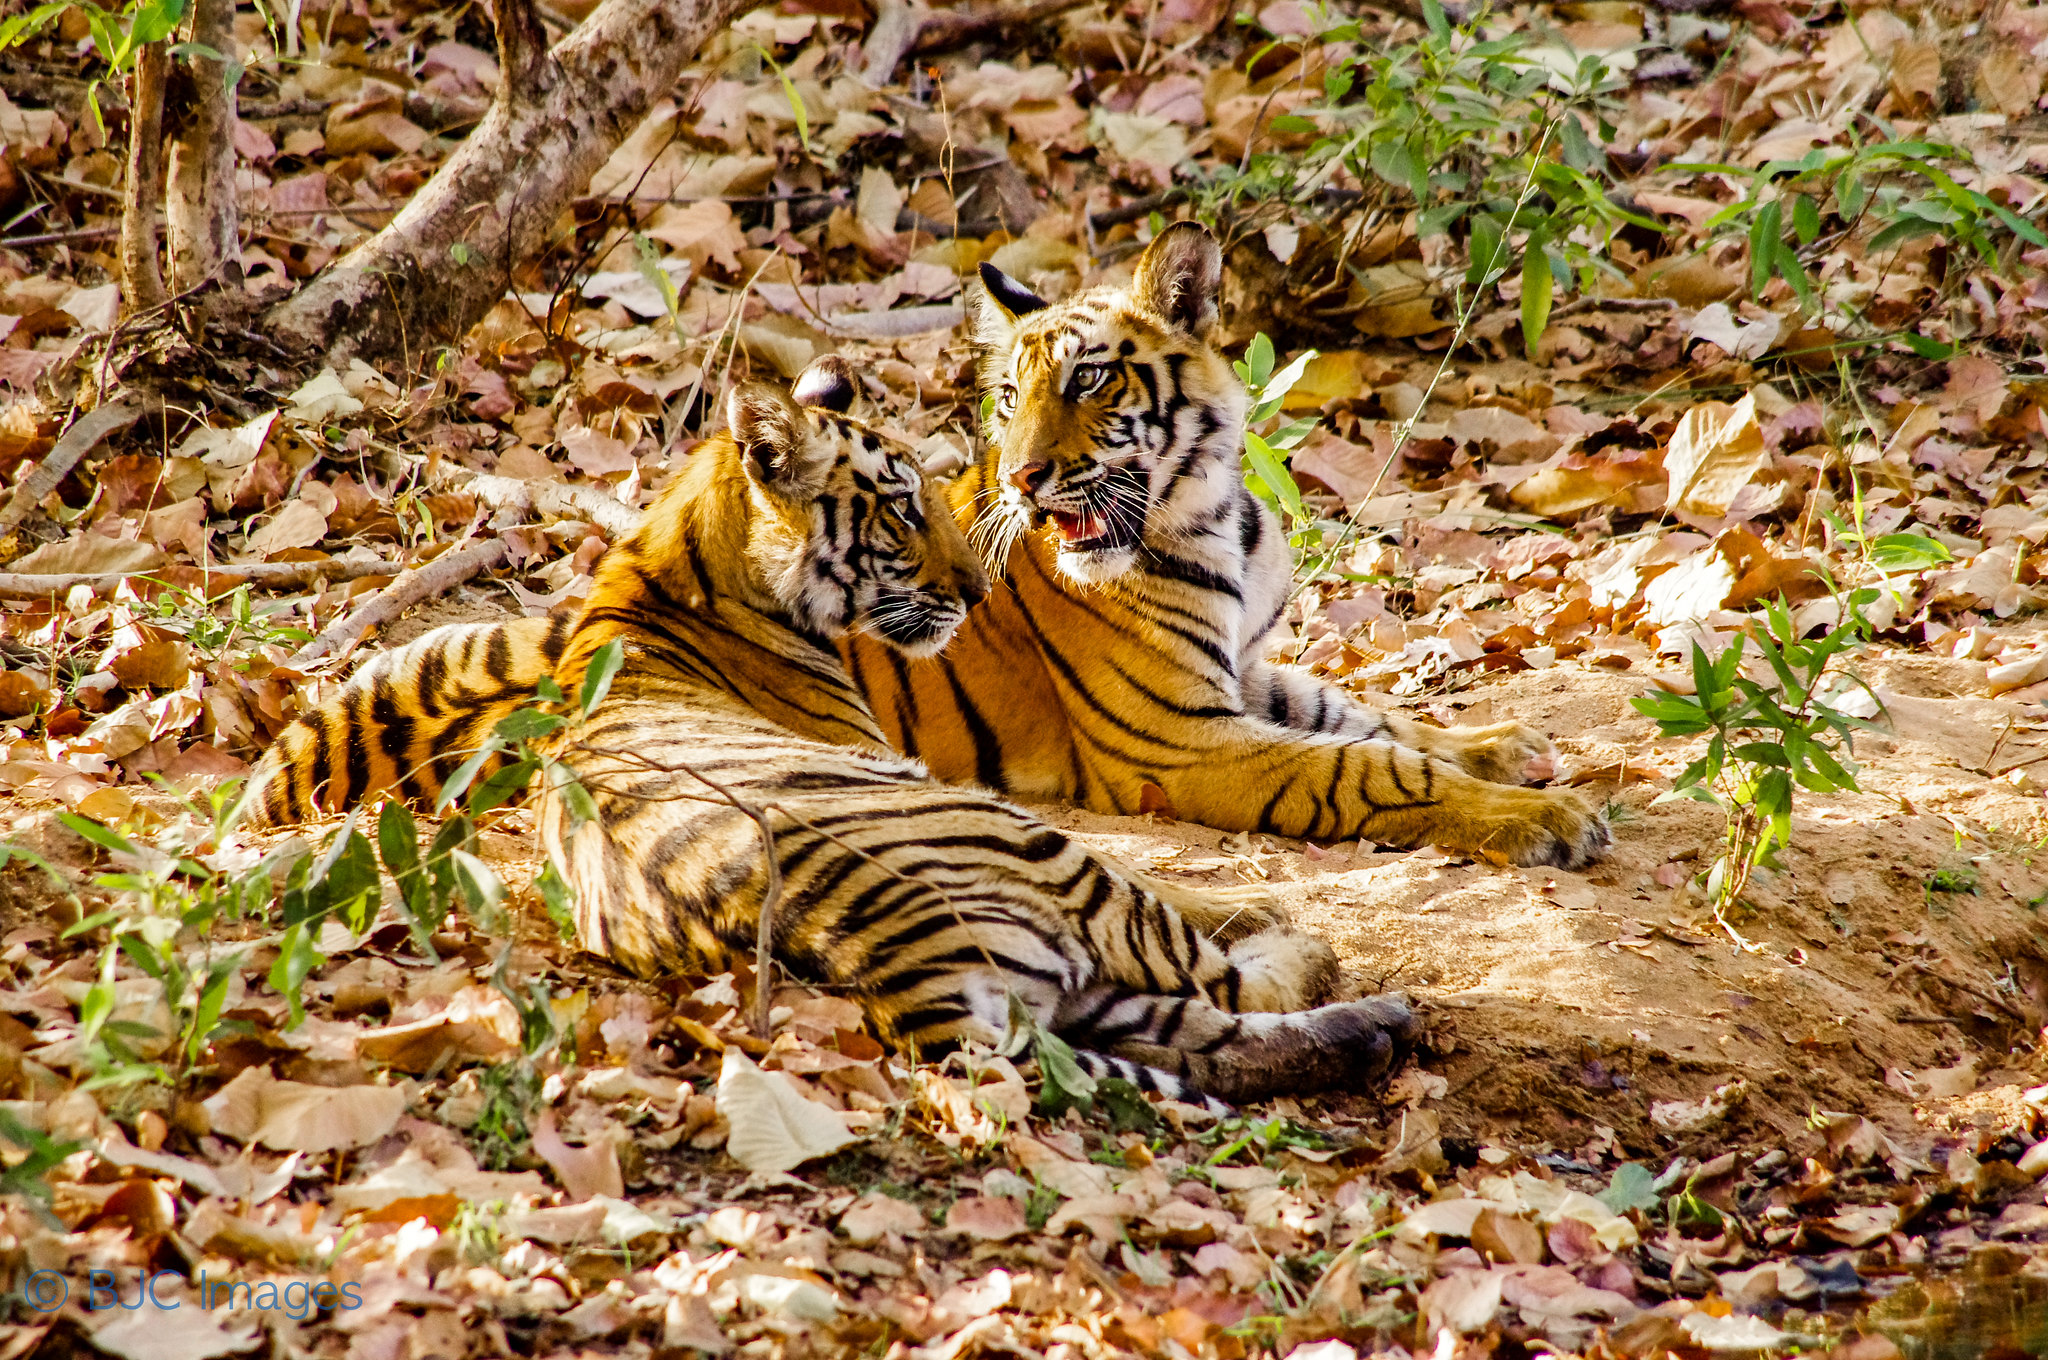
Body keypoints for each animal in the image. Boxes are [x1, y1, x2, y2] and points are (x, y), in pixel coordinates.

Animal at [247, 364, 1417, 1106]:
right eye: (900, 510)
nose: (978, 587)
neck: (671, 558)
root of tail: (906, 968)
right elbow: (1185, 886)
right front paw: (1261, 906)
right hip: (1033, 861)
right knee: (1215, 973)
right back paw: (1325, 963)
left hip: (1063, 994)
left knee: (1215, 1042)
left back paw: (1371, 1029)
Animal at [835, 218, 1613, 864]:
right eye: (1008, 398)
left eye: (1087, 377)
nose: (1020, 479)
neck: (1216, 521)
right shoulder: (1179, 738)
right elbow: (1365, 764)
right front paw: (1542, 815)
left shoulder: (1240, 669)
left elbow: (1356, 714)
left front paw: (1499, 745)